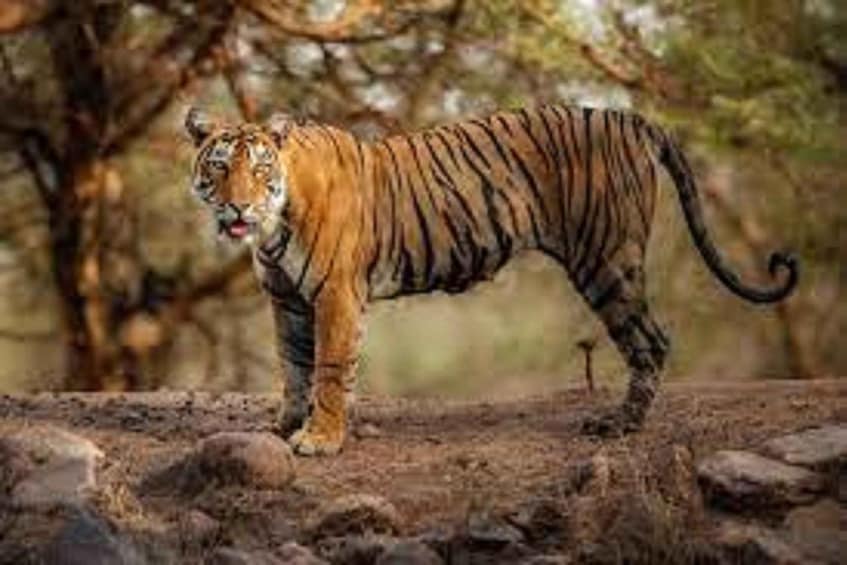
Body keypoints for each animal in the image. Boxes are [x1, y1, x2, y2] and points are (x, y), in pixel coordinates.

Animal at [185, 104, 797, 456]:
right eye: (219, 167)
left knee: (651, 339)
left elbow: (329, 371)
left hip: (606, 259)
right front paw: (285, 427)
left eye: (259, 168)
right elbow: (293, 366)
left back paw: (619, 425)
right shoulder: (287, 300)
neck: (272, 224)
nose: (238, 207)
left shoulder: (335, 295)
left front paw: (320, 439)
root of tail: (633, 118)